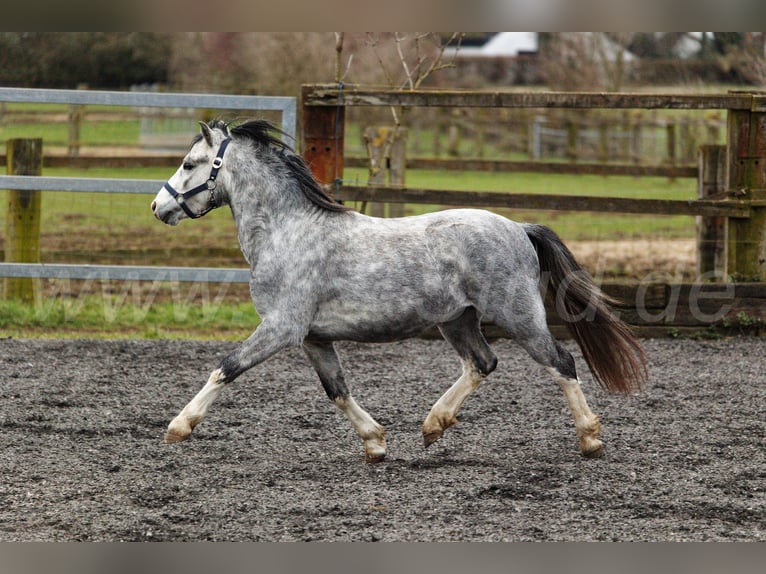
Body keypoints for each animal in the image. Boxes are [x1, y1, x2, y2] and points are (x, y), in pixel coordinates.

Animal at [153, 119, 652, 466]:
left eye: (189, 164)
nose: (158, 207)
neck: (287, 231)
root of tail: (519, 228)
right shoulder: (313, 337)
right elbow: (336, 390)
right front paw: (375, 444)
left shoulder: (281, 328)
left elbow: (226, 368)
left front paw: (179, 426)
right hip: (457, 320)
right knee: (482, 363)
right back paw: (434, 425)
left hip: (519, 315)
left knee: (561, 363)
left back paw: (590, 438)